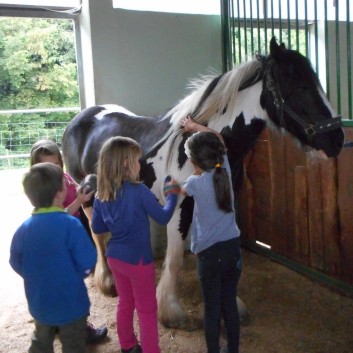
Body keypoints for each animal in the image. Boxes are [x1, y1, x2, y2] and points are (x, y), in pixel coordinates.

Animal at [61, 37, 344, 328]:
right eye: (300, 86)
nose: (336, 139)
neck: (196, 143)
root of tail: (82, 117)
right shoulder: (179, 207)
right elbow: (175, 259)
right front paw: (170, 310)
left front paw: (232, 304)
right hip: (88, 195)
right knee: (98, 234)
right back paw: (108, 281)